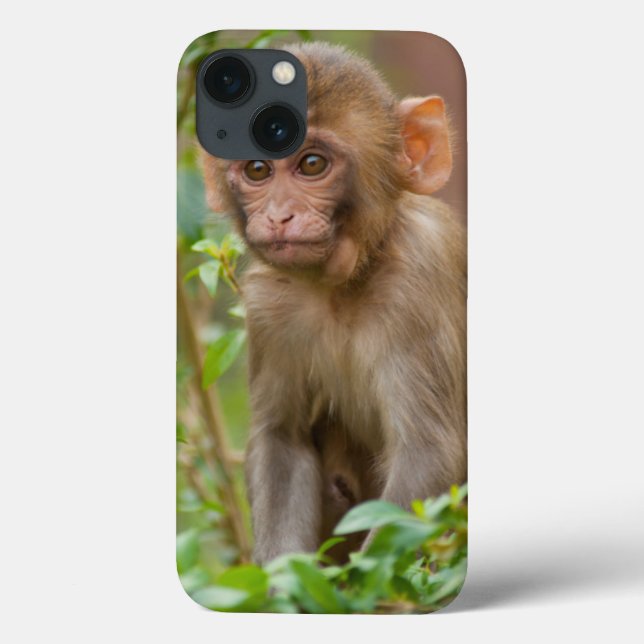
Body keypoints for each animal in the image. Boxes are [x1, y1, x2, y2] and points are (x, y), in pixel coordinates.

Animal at [201, 42, 466, 564]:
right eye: (258, 170)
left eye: (312, 165)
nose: (280, 216)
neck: (344, 284)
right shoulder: (268, 304)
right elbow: (283, 441)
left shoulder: (419, 278)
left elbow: (429, 454)